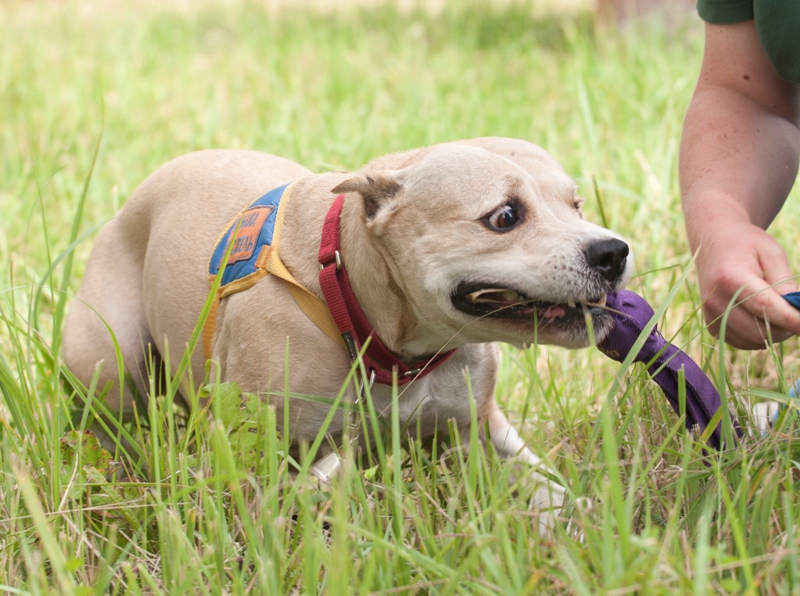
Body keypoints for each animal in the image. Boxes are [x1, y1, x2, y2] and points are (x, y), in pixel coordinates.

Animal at [62, 137, 636, 524]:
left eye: (577, 206)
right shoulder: (256, 460)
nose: (612, 251)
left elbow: (543, 484)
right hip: (110, 363)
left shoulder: (481, 425)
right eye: (505, 217)